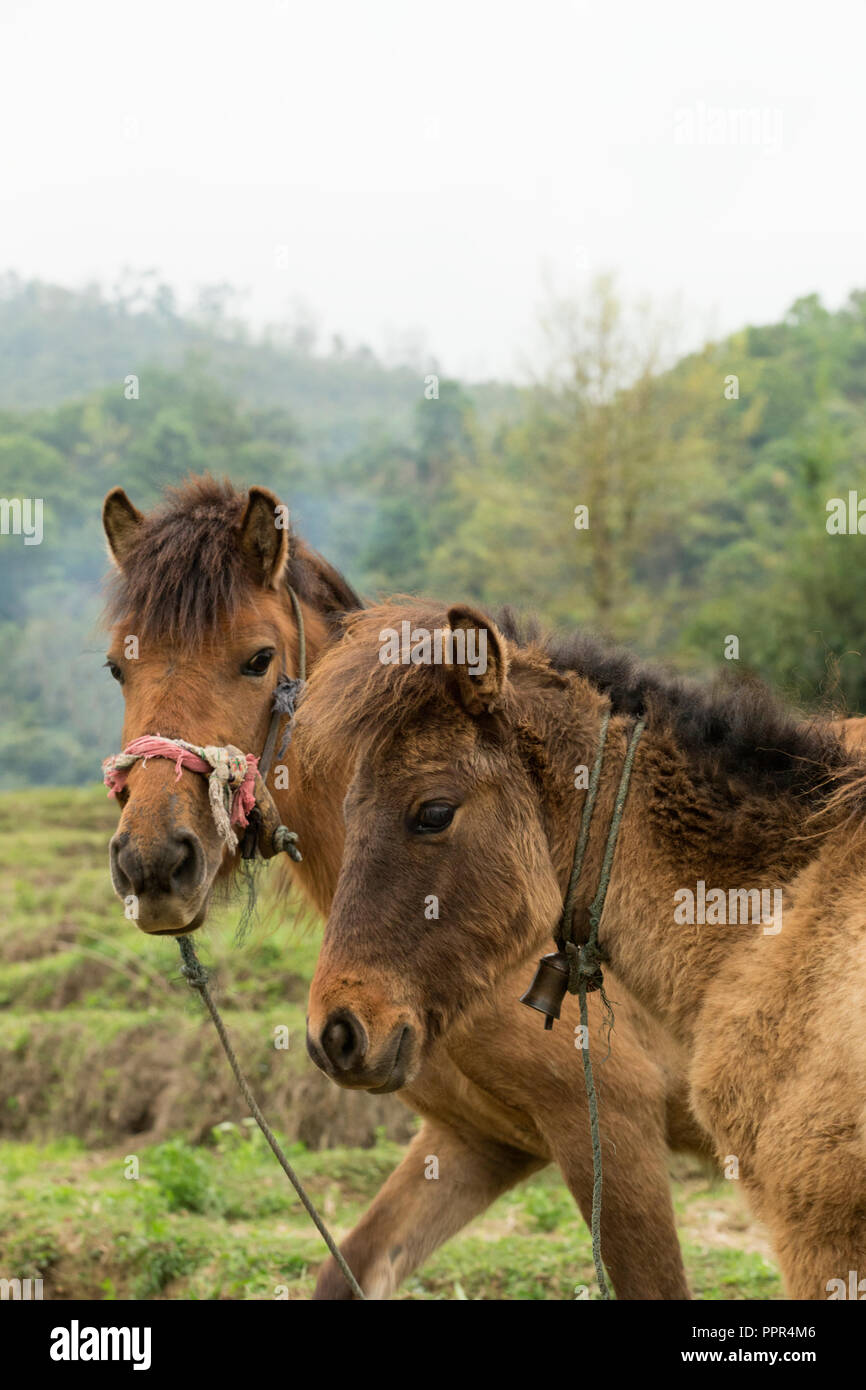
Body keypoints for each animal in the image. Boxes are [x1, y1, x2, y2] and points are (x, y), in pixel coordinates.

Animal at [101, 480, 711, 1301]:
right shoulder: (476, 1139)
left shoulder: (613, 1129)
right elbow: (354, 1268)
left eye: (258, 659)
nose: (153, 864)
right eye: (117, 669)